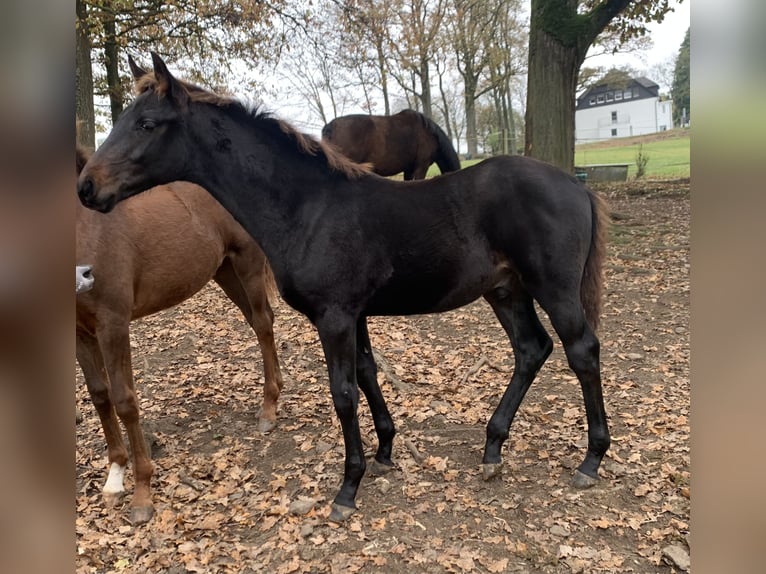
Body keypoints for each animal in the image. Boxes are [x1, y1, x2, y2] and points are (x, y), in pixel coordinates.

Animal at [76, 144, 284, 528]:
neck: (87, 230)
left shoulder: (114, 325)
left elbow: (124, 401)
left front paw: (142, 493)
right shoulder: (80, 332)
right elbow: (99, 396)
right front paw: (114, 477)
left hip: (246, 262)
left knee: (263, 324)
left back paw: (268, 408)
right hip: (224, 270)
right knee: (259, 321)